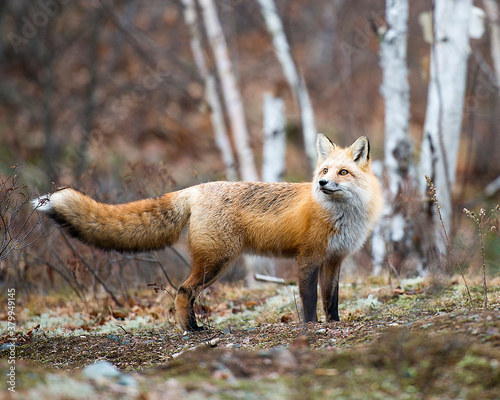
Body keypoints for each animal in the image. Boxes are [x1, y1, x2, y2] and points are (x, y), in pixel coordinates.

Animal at [34, 134, 382, 332]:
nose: (322, 184)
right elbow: (309, 299)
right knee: (182, 291)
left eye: (343, 172)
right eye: (324, 171)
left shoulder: (335, 259)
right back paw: (192, 330)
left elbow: (331, 298)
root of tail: (194, 189)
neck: (341, 216)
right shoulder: (308, 258)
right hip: (216, 261)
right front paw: (311, 326)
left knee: (183, 292)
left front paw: (334, 323)